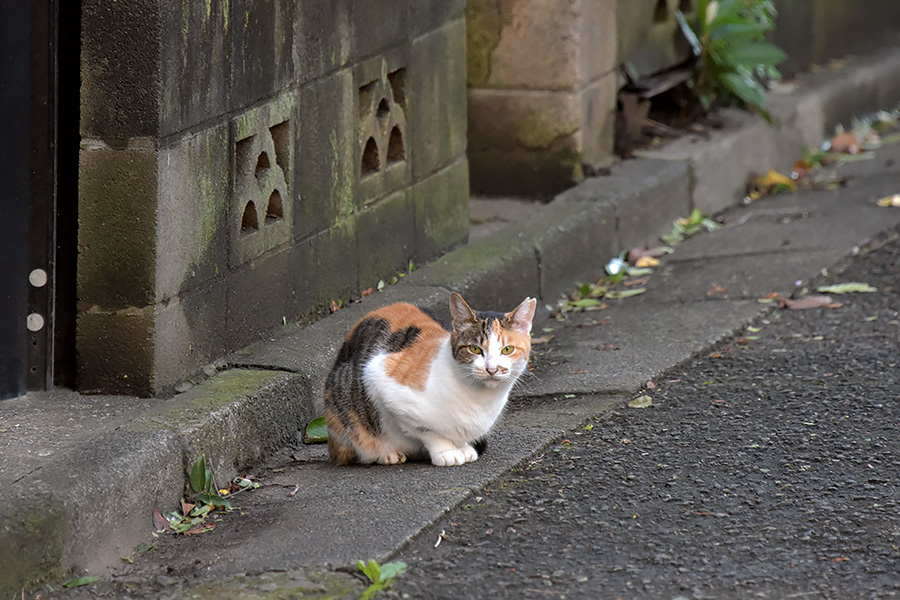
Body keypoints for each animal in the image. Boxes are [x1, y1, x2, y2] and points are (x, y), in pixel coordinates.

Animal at [324, 292, 536, 466]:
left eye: (507, 349)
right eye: (475, 349)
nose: (491, 369)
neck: (480, 399)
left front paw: (463, 446)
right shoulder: (378, 377)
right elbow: (429, 431)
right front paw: (447, 451)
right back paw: (387, 454)